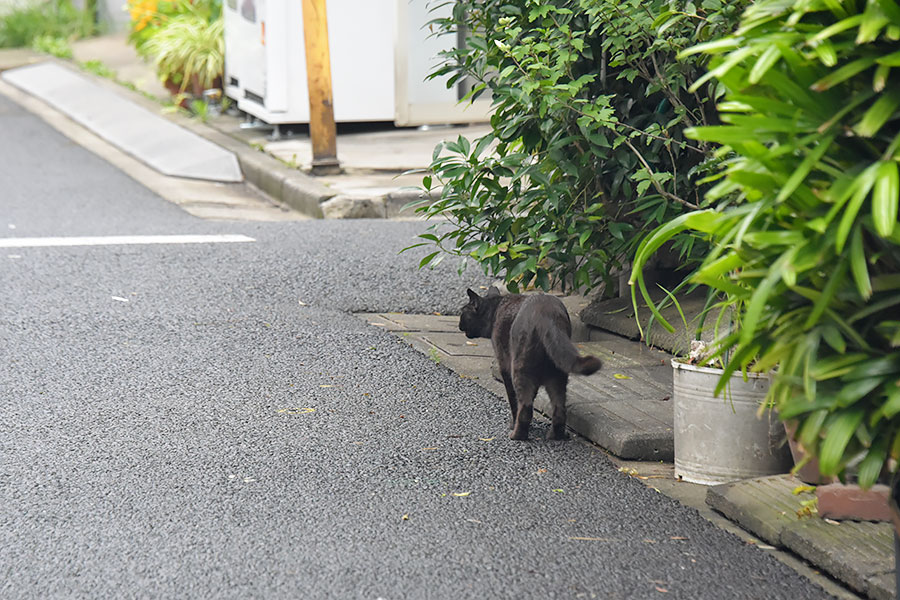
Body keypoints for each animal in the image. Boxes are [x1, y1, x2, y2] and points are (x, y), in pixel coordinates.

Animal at [460, 290, 600, 440]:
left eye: (462, 312)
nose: (459, 325)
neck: (496, 310)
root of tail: (547, 315)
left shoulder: (504, 367)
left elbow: (513, 400)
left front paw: (512, 423)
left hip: (519, 369)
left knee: (526, 408)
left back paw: (517, 435)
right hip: (558, 372)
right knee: (559, 408)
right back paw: (555, 435)